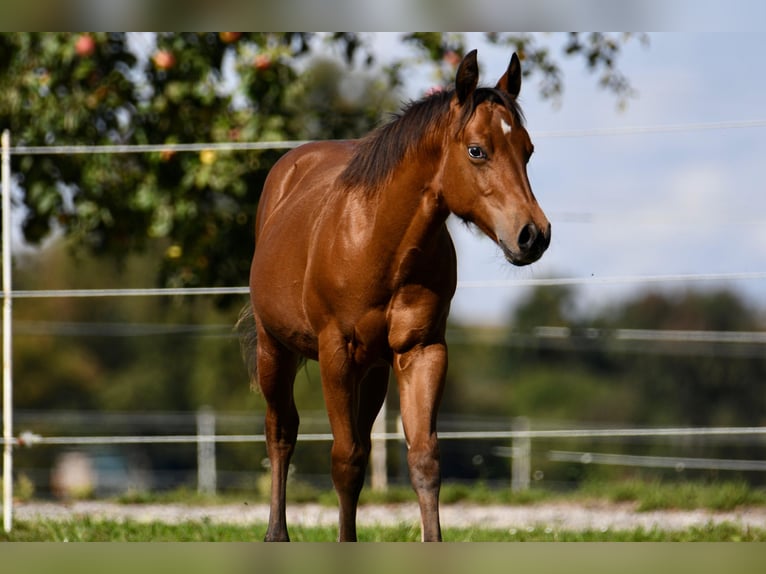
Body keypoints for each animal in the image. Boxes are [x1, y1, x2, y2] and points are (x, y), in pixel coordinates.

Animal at [238, 49, 551, 541]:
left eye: (528, 150)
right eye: (476, 150)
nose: (533, 235)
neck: (378, 243)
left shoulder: (421, 351)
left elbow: (423, 459)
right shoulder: (335, 354)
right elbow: (344, 460)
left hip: (374, 371)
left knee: (360, 444)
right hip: (276, 349)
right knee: (281, 432)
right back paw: (276, 533)